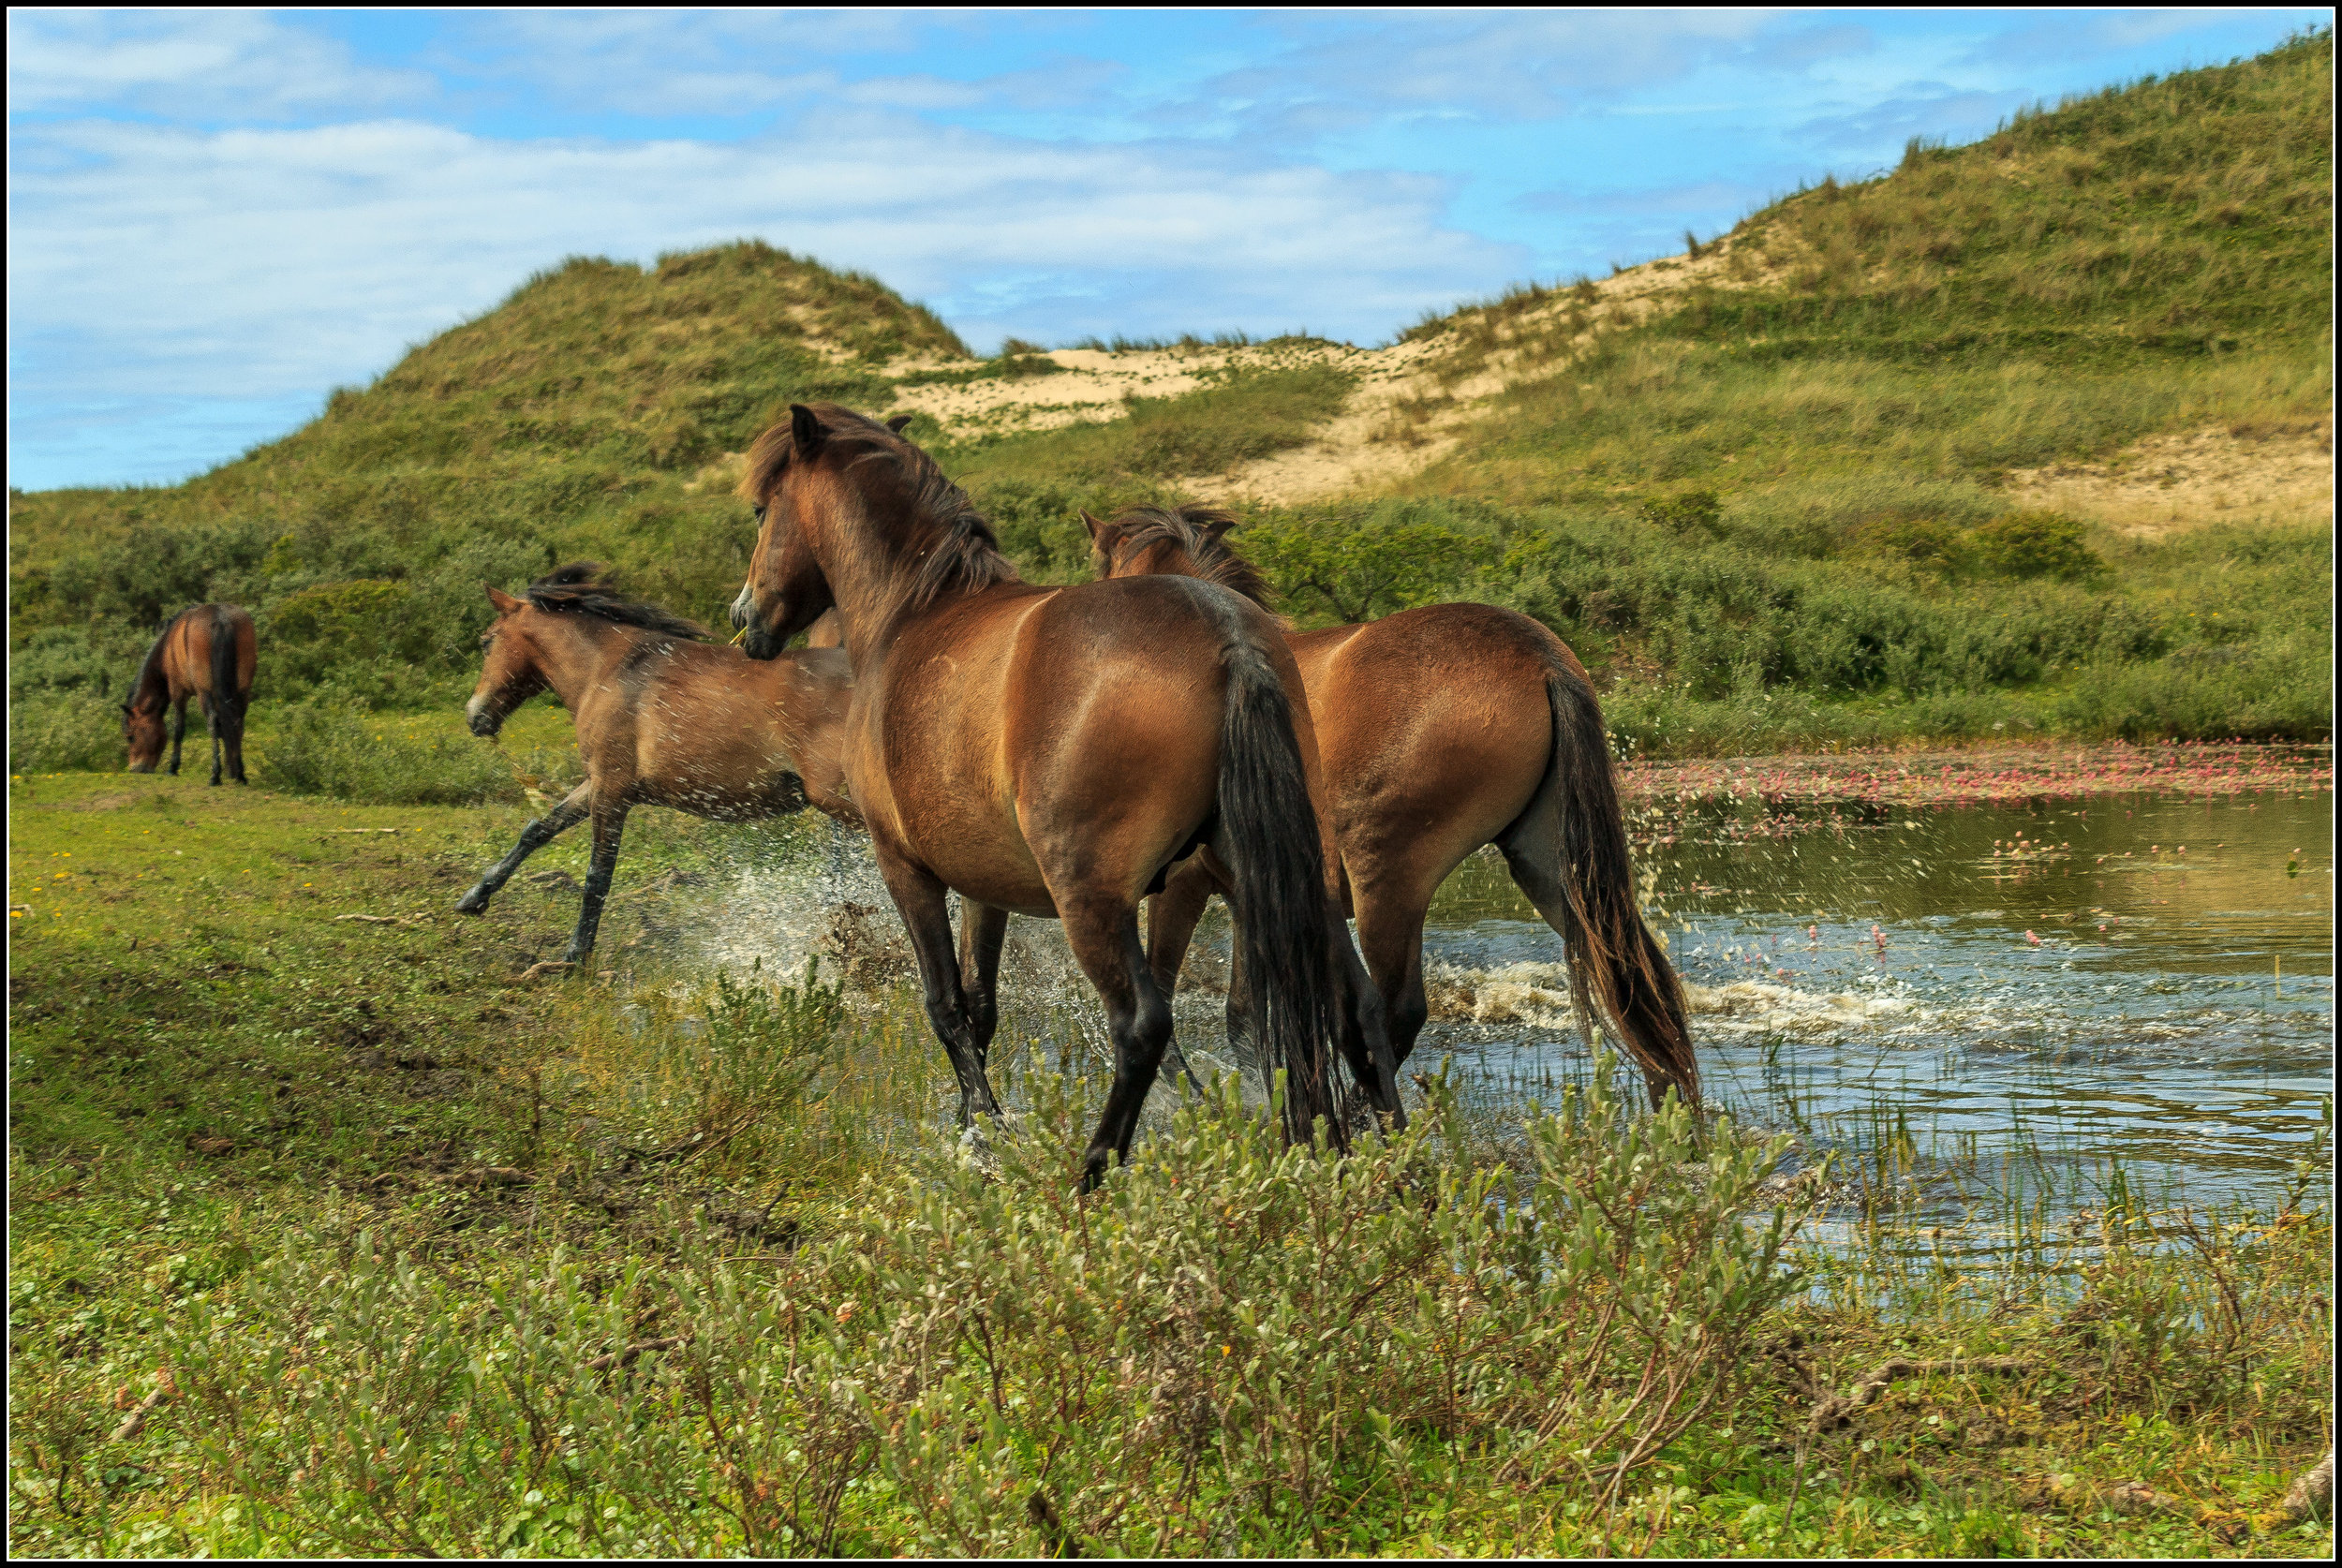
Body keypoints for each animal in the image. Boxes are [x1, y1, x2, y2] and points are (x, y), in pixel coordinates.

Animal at [123, 604, 257, 785]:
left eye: (131, 737)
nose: (135, 769)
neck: (167, 646)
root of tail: (221, 619)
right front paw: (231, 770)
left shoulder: (178, 691)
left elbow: (179, 727)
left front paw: (173, 767)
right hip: (243, 689)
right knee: (238, 722)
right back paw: (240, 774)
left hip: (204, 691)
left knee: (213, 723)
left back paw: (215, 775)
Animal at [457, 564, 858, 967]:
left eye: (487, 641)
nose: (475, 716)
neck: (609, 671)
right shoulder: (600, 782)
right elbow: (539, 829)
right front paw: (474, 897)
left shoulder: (611, 792)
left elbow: (597, 875)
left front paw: (575, 955)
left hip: (838, 799)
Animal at [730, 403, 1399, 1189]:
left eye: (761, 509)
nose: (745, 617)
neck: (915, 614)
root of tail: (1228, 635)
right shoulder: (982, 883)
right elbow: (981, 1005)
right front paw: (971, 1125)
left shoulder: (905, 867)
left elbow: (944, 1005)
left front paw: (983, 1133)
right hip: (1294, 881)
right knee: (1358, 1010)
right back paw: (1399, 1167)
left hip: (1094, 899)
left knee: (1143, 1026)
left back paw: (1091, 1174)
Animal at [1087, 506, 1698, 1110]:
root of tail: (1542, 658)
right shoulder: (1250, 894)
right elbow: (1244, 1017)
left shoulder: (1184, 884)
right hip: (1554, 869)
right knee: (1640, 984)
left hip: (1388, 875)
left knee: (1395, 1010)